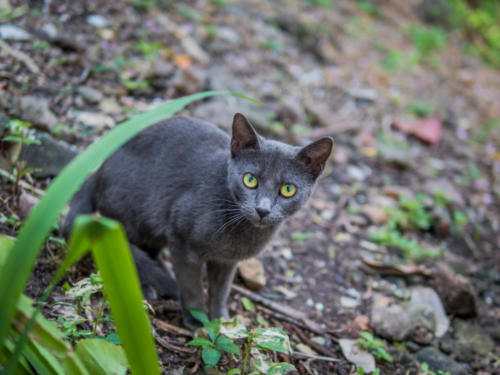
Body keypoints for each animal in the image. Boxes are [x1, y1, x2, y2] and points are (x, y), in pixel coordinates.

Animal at [64, 114, 334, 328]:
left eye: (288, 189)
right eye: (250, 180)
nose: (262, 209)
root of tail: (98, 169)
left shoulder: (226, 262)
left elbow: (220, 291)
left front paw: (221, 321)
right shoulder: (181, 239)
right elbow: (191, 286)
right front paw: (196, 320)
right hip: (135, 214)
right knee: (120, 246)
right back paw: (146, 284)